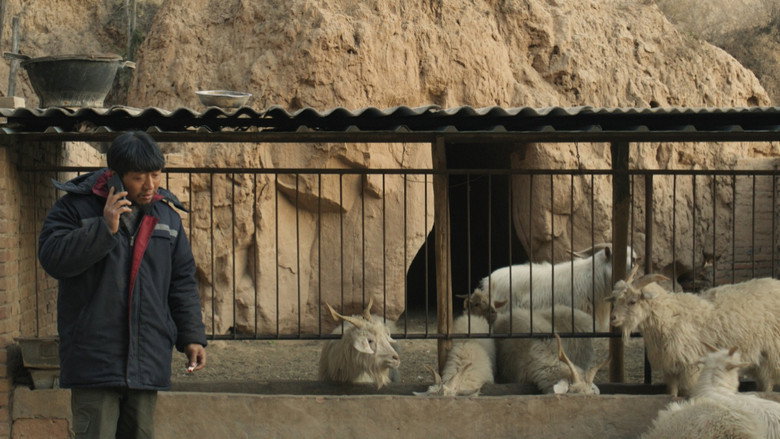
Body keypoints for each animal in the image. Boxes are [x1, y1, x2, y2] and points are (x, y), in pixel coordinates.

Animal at [609, 267, 780, 396]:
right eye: (616, 299)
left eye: (632, 301)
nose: (613, 318)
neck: (671, 317)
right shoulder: (670, 367)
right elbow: (671, 393)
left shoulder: (690, 365)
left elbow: (686, 393)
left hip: (773, 352)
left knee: (769, 382)